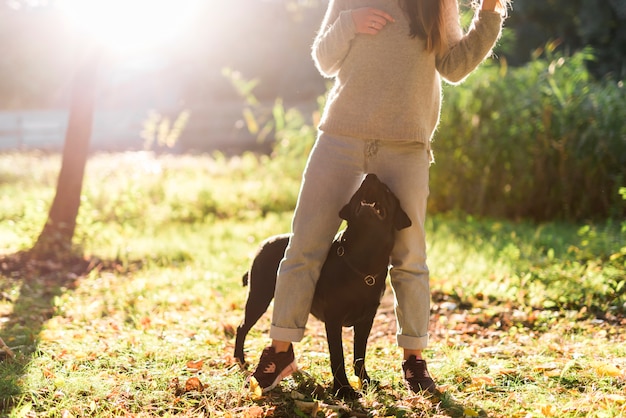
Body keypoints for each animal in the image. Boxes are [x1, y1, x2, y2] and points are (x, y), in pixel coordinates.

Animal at [234, 173, 410, 398]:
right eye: (359, 189)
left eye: (387, 190)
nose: (371, 176)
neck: (363, 256)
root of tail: (263, 243)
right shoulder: (333, 319)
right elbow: (338, 356)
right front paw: (343, 389)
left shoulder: (366, 320)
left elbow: (359, 354)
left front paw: (365, 382)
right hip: (259, 297)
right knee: (241, 327)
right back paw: (241, 360)